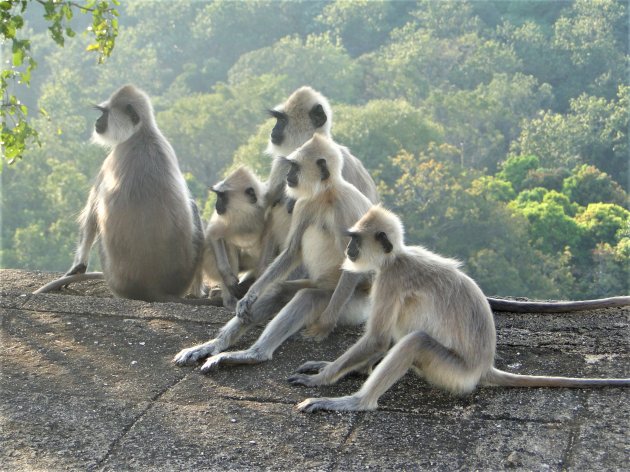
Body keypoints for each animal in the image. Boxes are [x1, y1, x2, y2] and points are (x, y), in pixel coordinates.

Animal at [33, 84, 206, 302]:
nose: (98, 121)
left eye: (106, 113)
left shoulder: (111, 159)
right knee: (193, 207)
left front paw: (77, 267)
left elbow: (91, 218)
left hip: (114, 276)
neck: (141, 134)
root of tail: (153, 290)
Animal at [204, 166, 268, 310]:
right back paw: (230, 300)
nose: (216, 205)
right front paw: (229, 279)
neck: (248, 213)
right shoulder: (228, 220)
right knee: (228, 244)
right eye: (218, 195)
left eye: (222, 196)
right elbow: (214, 234)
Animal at [292, 205, 630, 412]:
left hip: (452, 372)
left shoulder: (391, 278)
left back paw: (356, 401)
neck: (396, 258)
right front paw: (328, 365)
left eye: (356, 241)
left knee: (415, 340)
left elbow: (377, 338)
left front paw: (321, 379)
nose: (349, 250)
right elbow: (380, 338)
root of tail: (483, 367)